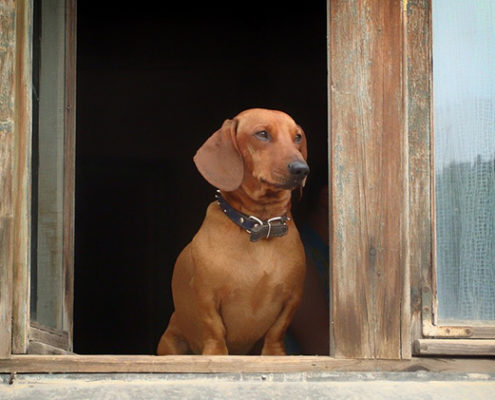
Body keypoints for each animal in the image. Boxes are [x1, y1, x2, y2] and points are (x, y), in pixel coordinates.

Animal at [157, 108, 310, 354]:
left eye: (297, 137)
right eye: (262, 134)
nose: (301, 169)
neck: (260, 225)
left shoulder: (292, 298)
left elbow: (277, 331)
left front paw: (274, 355)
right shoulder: (207, 297)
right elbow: (214, 329)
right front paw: (216, 354)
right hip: (171, 342)